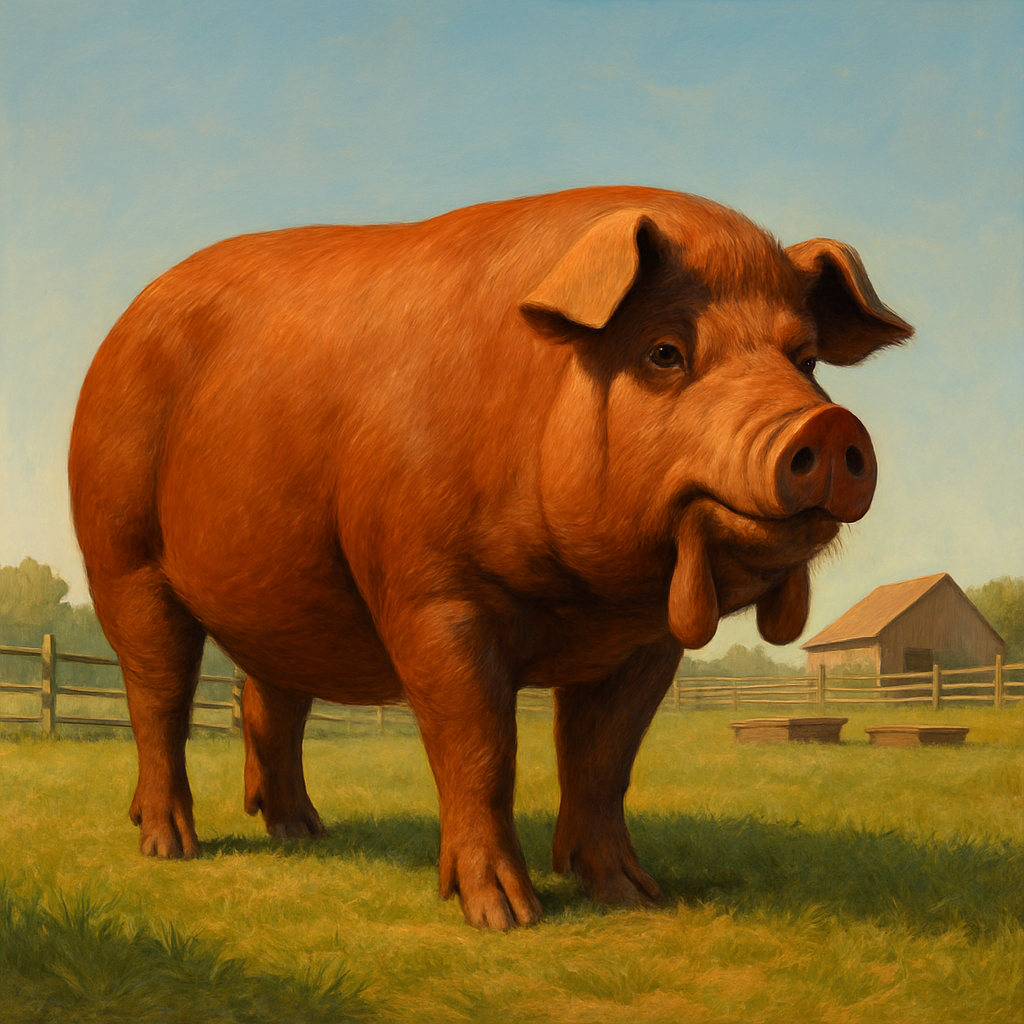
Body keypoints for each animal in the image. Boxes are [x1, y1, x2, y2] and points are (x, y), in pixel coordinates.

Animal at [68, 186, 912, 929]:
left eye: (805, 360)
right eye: (665, 352)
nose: (829, 425)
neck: (585, 600)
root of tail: (121, 325)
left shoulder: (644, 641)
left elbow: (602, 760)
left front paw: (636, 898)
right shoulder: (434, 596)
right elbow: (481, 747)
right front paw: (506, 917)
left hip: (284, 595)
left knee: (268, 701)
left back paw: (305, 833)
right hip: (121, 554)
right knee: (158, 696)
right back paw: (169, 847)